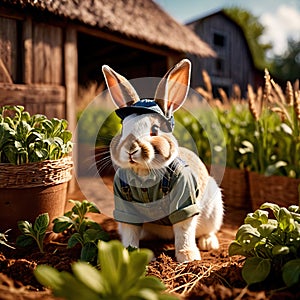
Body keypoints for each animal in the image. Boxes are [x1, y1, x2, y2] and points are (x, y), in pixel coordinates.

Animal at [103, 59, 223, 262]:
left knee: (208, 230)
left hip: (214, 211)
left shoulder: (185, 198)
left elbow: (184, 229)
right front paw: (128, 254)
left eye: (154, 130)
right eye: (123, 128)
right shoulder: (124, 205)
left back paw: (208, 243)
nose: (130, 149)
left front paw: (188, 257)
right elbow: (130, 230)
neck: (144, 174)